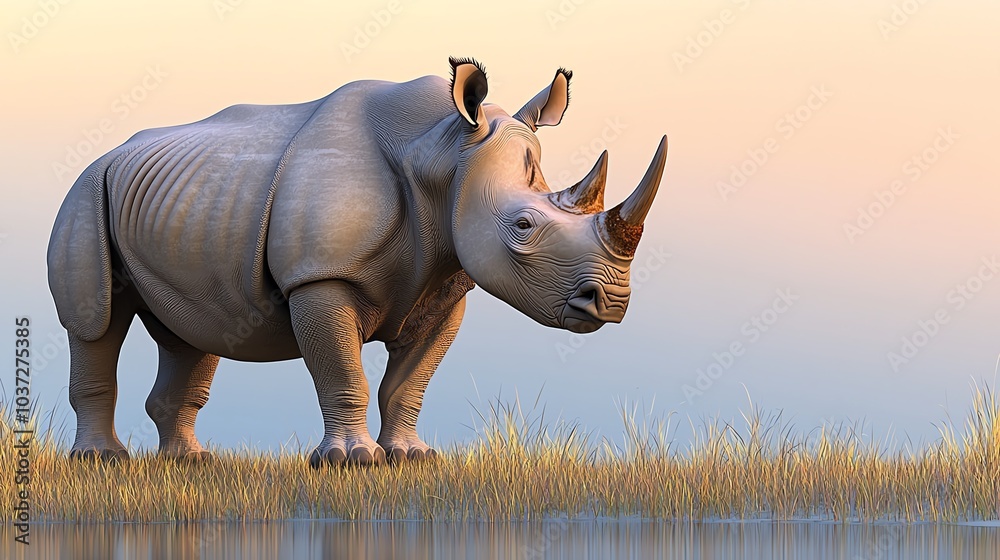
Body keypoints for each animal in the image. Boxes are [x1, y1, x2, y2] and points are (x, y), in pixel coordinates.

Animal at [47, 57, 667, 466]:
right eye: (523, 226)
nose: (612, 303)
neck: (444, 154)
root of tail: (107, 153)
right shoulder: (320, 277)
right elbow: (343, 369)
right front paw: (349, 460)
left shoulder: (448, 283)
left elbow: (409, 380)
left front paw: (412, 457)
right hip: (84, 193)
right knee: (96, 321)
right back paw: (102, 462)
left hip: (182, 206)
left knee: (191, 334)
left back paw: (191, 463)